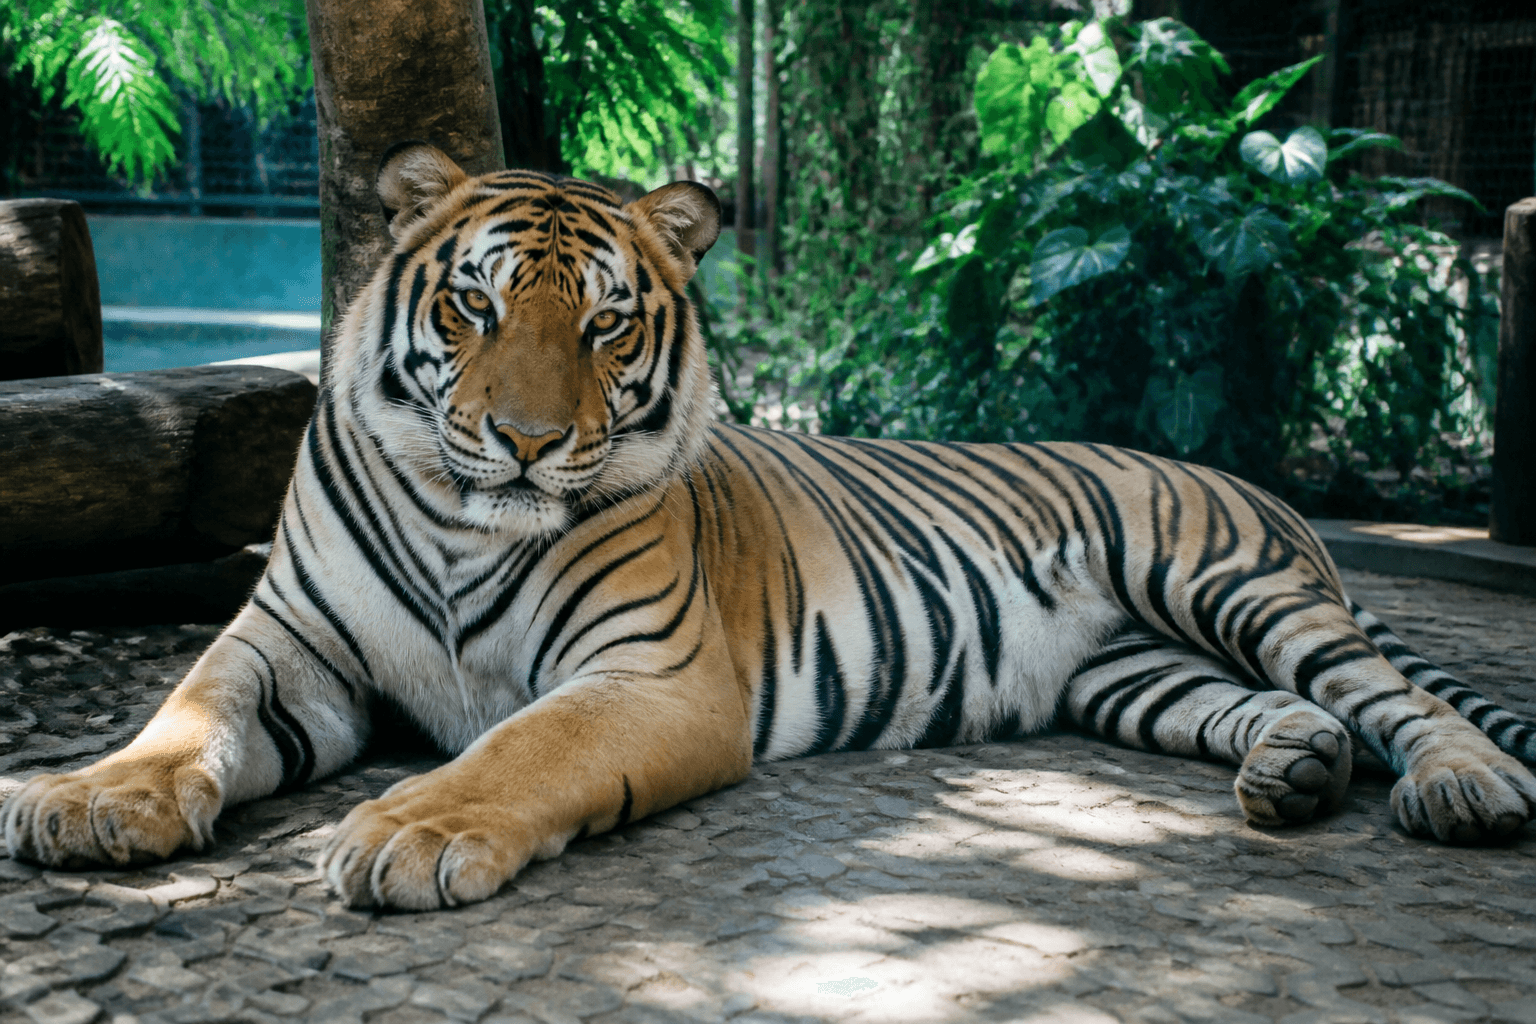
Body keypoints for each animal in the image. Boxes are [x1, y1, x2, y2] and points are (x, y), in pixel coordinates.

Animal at [5, 143, 1534, 912]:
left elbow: (517, 747)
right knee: (1272, 708)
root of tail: (1250, 481)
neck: (461, 524)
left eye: (604, 324)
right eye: (475, 306)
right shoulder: (290, 642)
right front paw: (87, 799)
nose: (527, 441)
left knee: (1393, 696)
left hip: (1232, 583)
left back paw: (1464, 789)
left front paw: (412, 831)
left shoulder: (651, 677)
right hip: (1132, 670)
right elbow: (188, 712)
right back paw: (1294, 772)